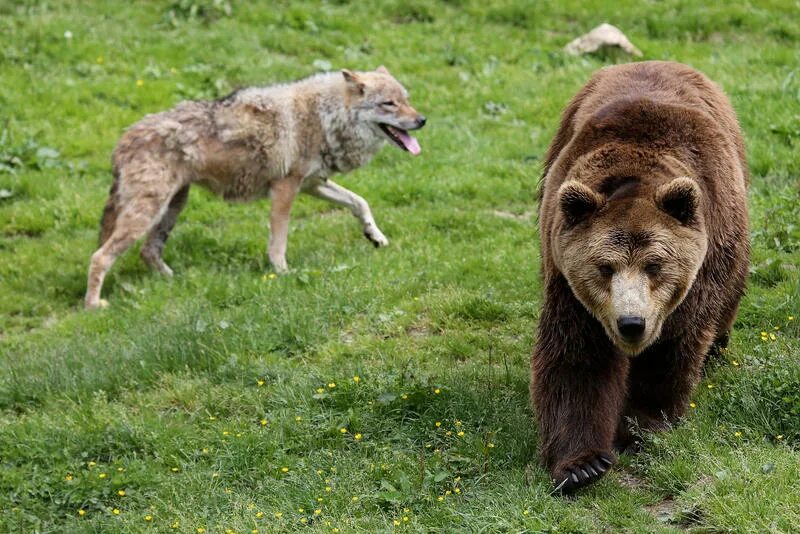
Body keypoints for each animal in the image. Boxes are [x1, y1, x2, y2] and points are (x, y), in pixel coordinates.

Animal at [83, 67, 424, 310]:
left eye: (407, 99)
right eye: (389, 104)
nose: (422, 120)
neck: (323, 116)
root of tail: (123, 140)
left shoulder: (313, 184)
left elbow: (360, 202)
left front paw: (376, 237)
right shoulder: (285, 189)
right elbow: (279, 241)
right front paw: (283, 274)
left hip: (171, 208)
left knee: (148, 252)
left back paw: (177, 282)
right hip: (147, 213)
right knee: (100, 256)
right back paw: (93, 306)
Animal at [532, 61, 752, 494]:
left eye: (654, 265)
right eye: (604, 267)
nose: (631, 323)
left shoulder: (699, 271)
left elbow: (673, 346)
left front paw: (642, 426)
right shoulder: (569, 281)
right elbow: (578, 357)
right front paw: (582, 464)